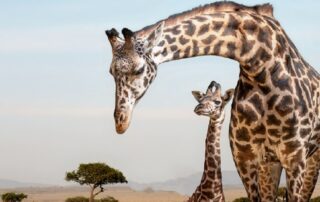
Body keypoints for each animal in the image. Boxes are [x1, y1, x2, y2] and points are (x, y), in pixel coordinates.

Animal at [105, 1, 320, 200]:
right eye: (111, 72)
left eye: (139, 70)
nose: (120, 122)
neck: (259, 66)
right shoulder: (245, 157)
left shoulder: (294, 157)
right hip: (270, 164)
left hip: (310, 160)